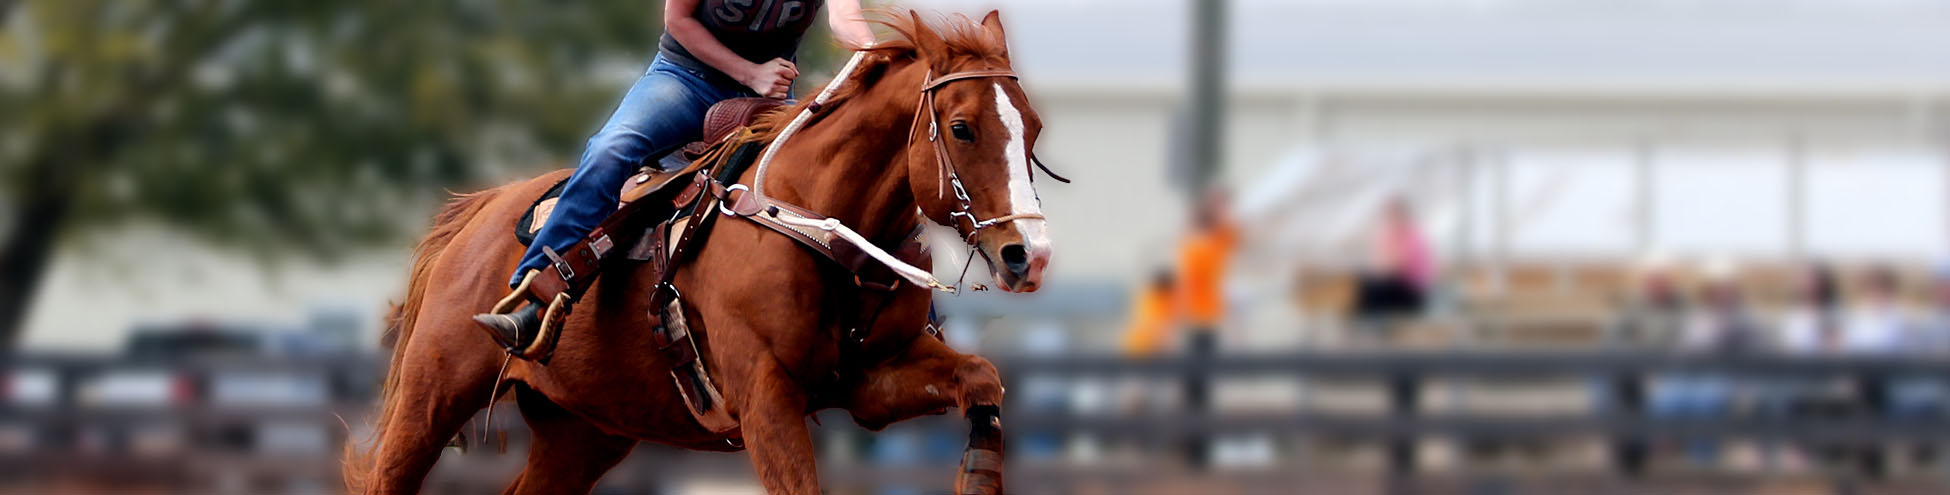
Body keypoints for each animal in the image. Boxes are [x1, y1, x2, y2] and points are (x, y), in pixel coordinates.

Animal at [343, 10, 1060, 495]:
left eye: (1033, 126)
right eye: (962, 128)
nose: (1028, 254)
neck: (818, 220)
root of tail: (476, 211)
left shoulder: (870, 383)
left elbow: (982, 379)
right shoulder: (765, 397)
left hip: (584, 430)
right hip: (432, 395)